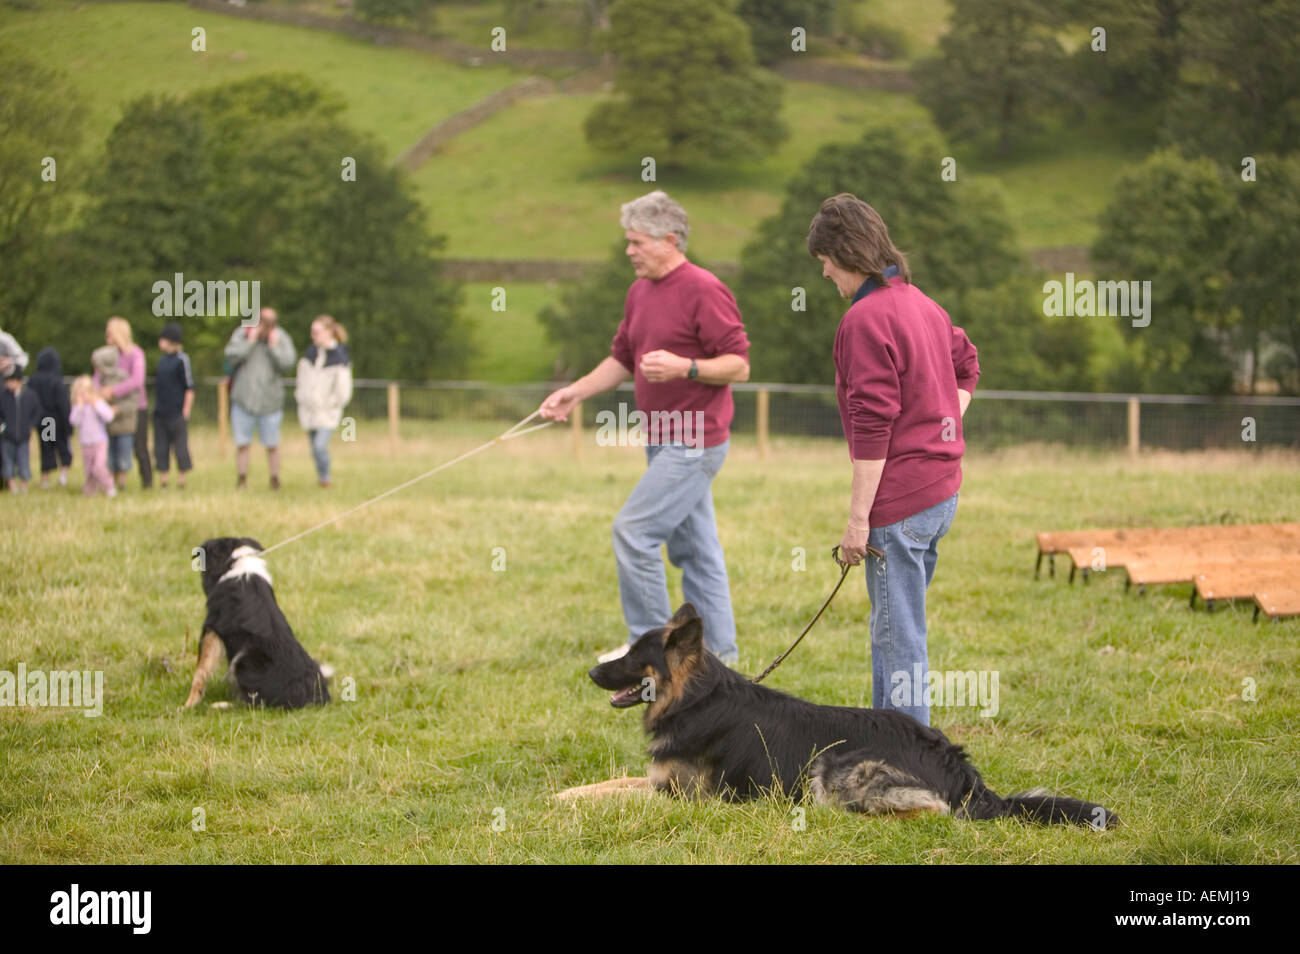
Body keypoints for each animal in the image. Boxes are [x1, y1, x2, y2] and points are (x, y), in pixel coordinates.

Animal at [564, 613, 1123, 831]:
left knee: (932, 811)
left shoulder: (682, 797)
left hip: (835, 765)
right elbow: (610, 783)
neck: (694, 699)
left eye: (632, 657)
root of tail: (964, 776)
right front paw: (564, 794)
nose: (589, 671)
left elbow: (619, 795)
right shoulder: (659, 780)